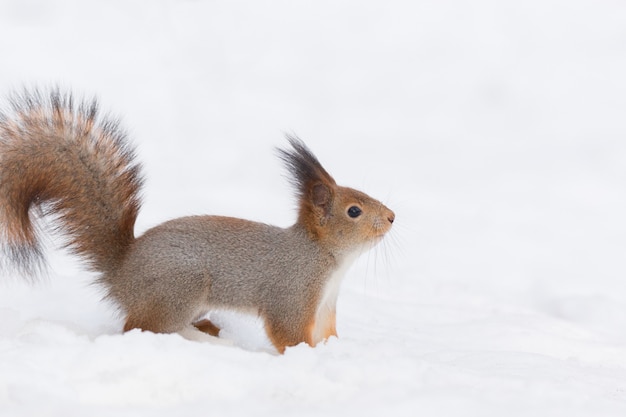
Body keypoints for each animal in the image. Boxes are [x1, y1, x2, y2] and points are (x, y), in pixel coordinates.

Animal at [0, 89, 392, 352]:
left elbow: (328, 334)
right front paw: (304, 357)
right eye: (354, 211)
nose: (391, 217)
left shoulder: (325, 305)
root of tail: (122, 271)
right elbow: (288, 334)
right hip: (180, 287)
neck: (327, 258)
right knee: (141, 327)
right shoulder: (292, 293)